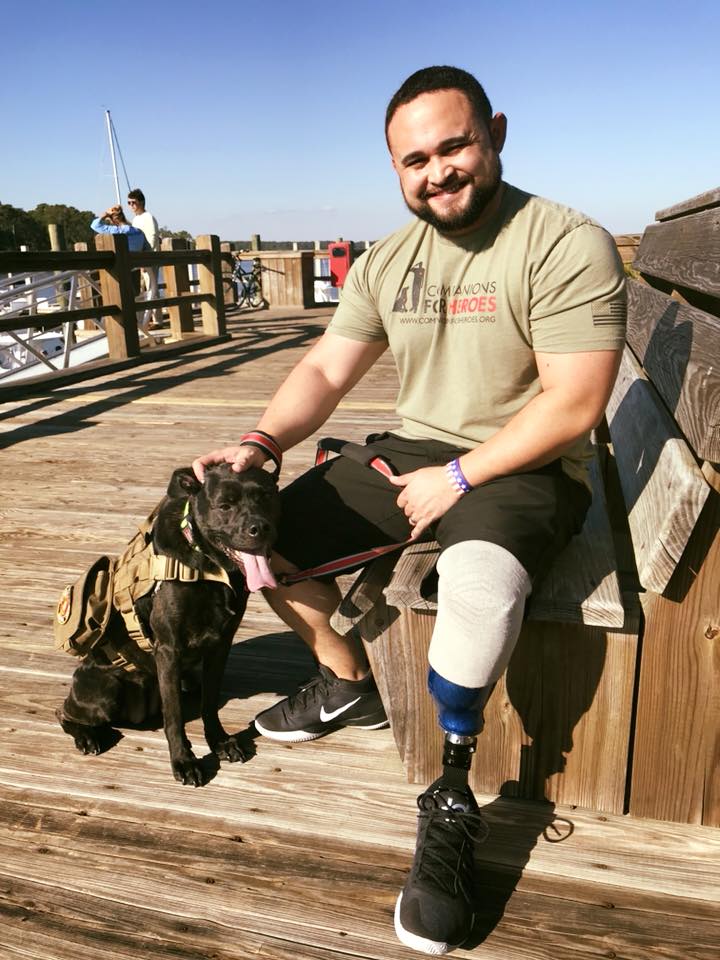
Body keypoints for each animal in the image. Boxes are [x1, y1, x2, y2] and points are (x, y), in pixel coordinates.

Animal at [55, 464, 282, 788]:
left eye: (266, 497)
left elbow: (209, 703)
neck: (208, 565)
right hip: (106, 691)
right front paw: (184, 761)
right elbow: (174, 717)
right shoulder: (169, 649)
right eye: (225, 505)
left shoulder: (220, 646)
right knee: (63, 712)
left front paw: (220, 742)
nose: (259, 528)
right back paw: (87, 737)